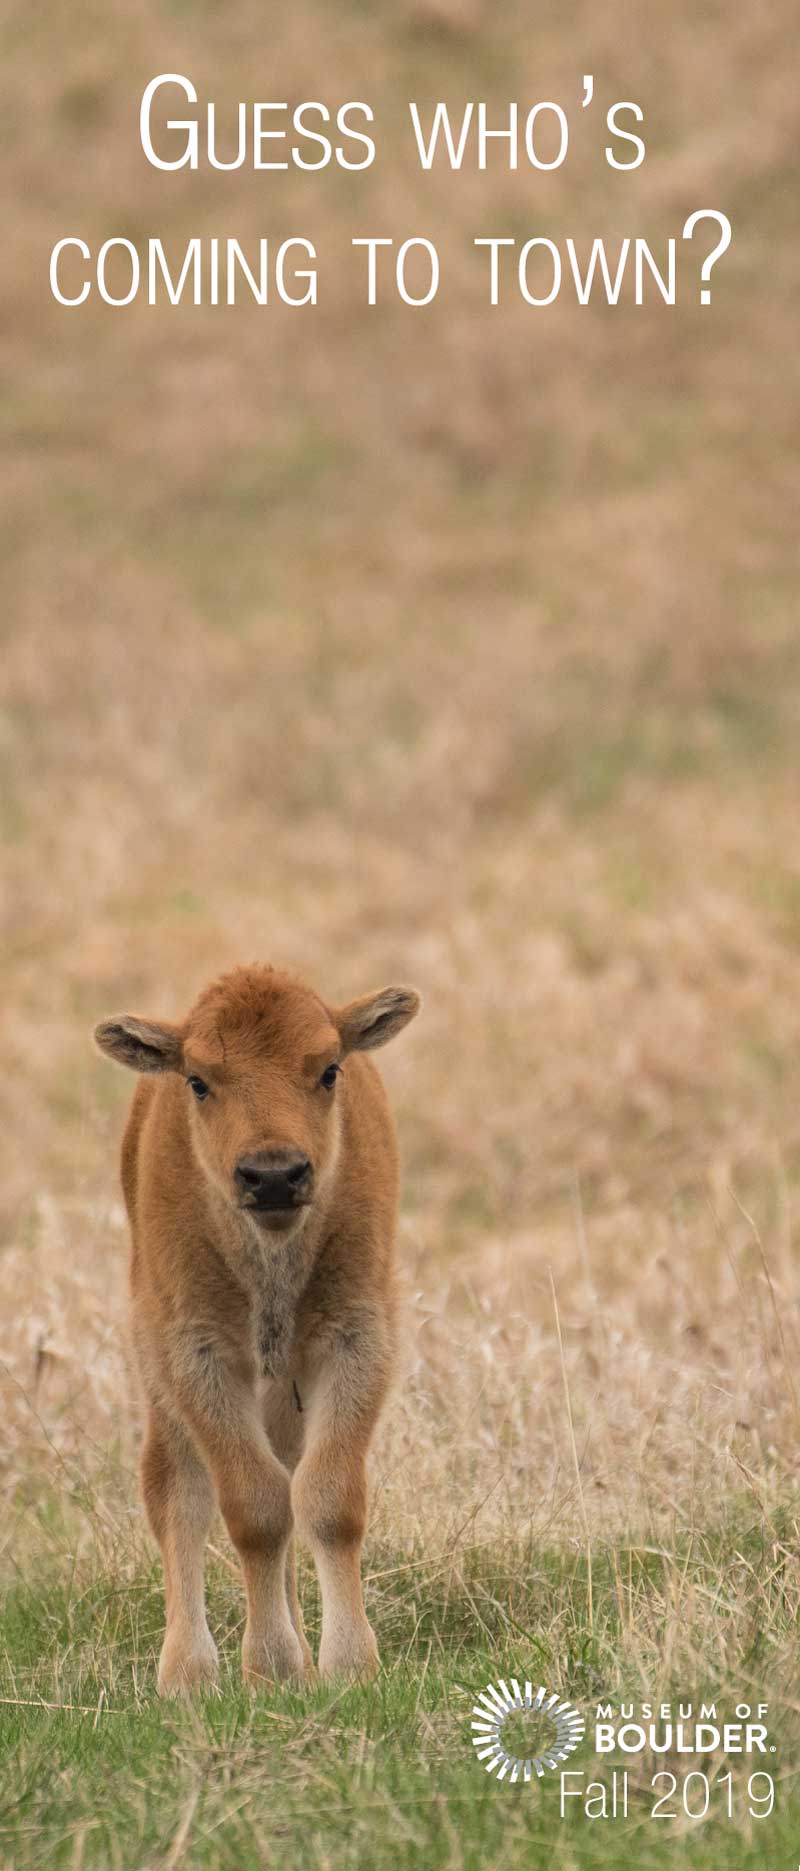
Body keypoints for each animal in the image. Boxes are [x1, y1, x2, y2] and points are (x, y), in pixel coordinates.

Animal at [93, 965, 418, 1698]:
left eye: (329, 1069)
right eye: (198, 1080)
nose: (273, 1176)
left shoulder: (357, 1341)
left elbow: (327, 1499)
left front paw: (347, 1667)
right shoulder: (198, 1357)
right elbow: (255, 1508)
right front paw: (271, 1666)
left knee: (288, 1475)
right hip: (159, 1370)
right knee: (176, 1493)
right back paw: (187, 1673)